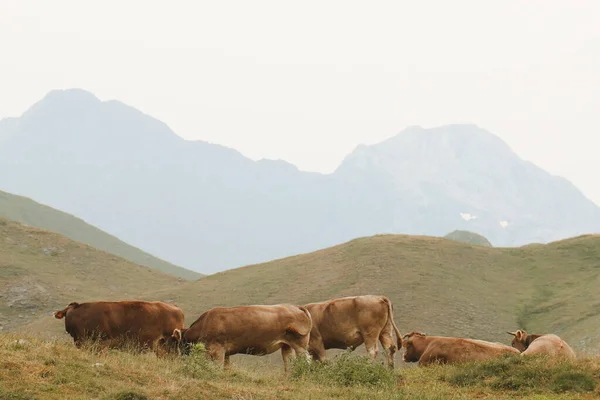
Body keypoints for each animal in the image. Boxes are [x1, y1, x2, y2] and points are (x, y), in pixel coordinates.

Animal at [164, 304, 314, 374]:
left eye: (179, 343)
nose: (180, 357)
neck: (205, 323)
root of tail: (295, 306)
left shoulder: (217, 350)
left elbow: (218, 367)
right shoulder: (225, 352)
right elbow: (226, 367)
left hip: (300, 345)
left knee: (306, 360)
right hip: (286, 345)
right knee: (289, 363)